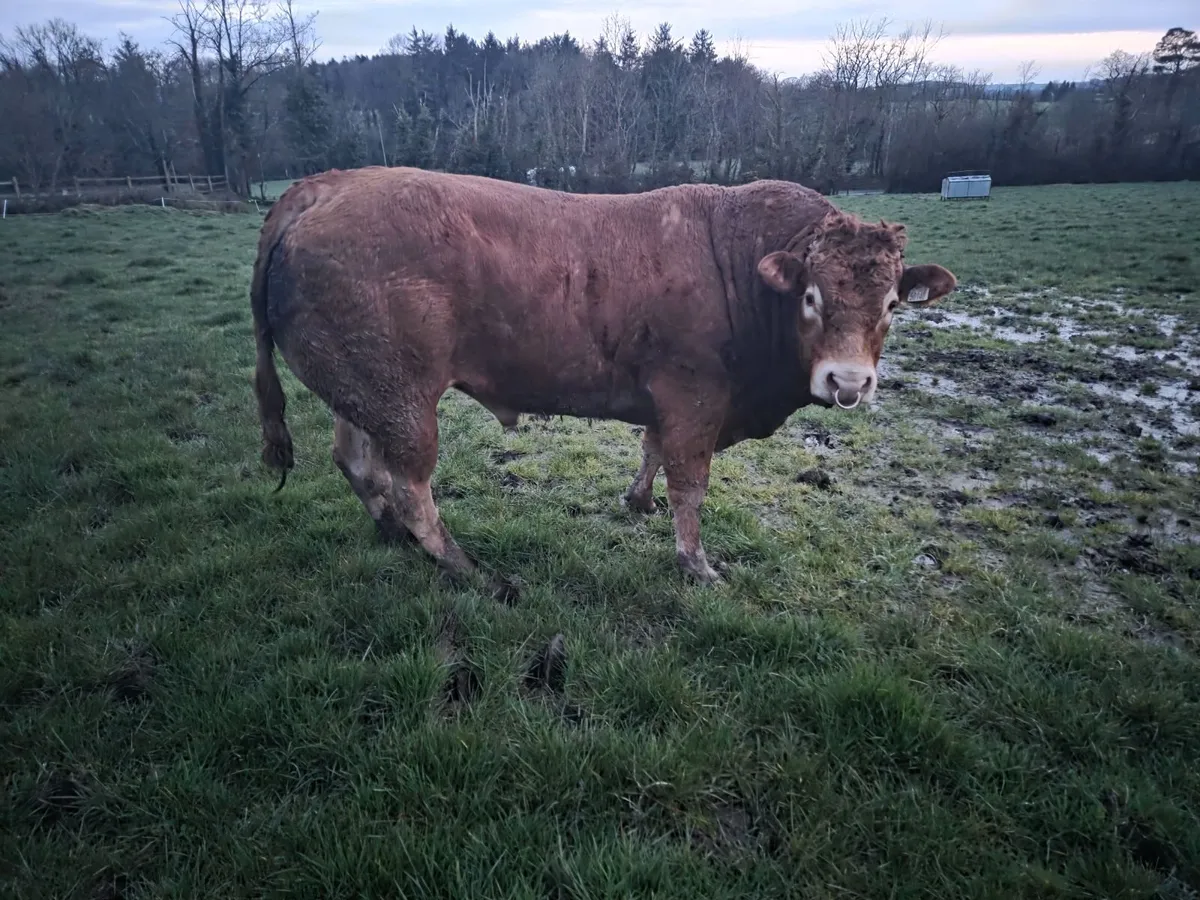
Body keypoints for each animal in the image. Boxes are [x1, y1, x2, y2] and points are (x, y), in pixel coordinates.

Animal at [250, 166, 956, 590]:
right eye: (811, 296)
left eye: (893, 304)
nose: (847, 381)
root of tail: (324, 185)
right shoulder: (695, 395)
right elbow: (690, 484)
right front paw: (697, 564)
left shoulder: (671, 399)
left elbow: (651, 449)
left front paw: (637, 501)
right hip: (406, 400)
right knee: (410, 484)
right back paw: (466, 568)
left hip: (362, 386)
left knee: (355, 461)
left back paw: (392, 534)